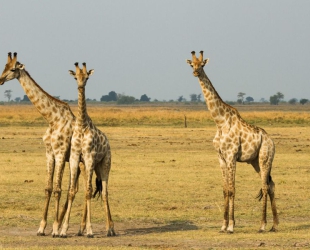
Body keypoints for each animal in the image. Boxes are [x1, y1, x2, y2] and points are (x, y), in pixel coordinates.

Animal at [0, 52, 78, 236]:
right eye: (4, 66)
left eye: (12, 69)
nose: (0, 80)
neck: (52, 118)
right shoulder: (49, 153)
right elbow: (48, 188)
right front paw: (42, 227)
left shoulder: (60, 152)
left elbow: (57, 189)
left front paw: (55, 229)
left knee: (78, 189)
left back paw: (68, 227)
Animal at [59, 62, 115, 238]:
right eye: (75, 77)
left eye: (87, 77)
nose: (80, 86)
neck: (82, 125)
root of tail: (108, 143)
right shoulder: (76, 157)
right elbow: (72, 191)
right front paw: (63, 230)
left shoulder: (89, 157)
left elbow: (89, 191)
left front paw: (90, 230)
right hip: (92, 166)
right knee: (95, 190)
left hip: (105, 164)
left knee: (104, 193)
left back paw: (110, 229)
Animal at [188, 50, 280, 232]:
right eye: (192, 64)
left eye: (202, 65)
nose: (195, 72)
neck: (220, 122)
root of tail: (271, 141)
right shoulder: (221, 157)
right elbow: (225, 189)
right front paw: (223, 225)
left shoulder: (231, 156)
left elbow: (232, 189)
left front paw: (231, 226)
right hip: (255, 162)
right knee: (271, 184)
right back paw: (274, 225)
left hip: (265, 158)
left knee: (265, 186)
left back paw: (263, 225)